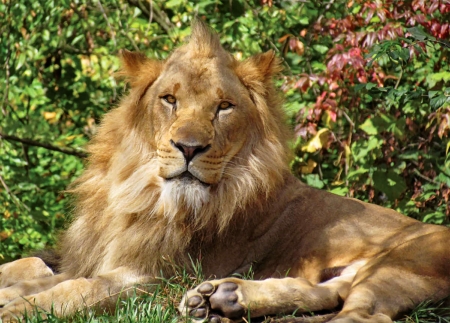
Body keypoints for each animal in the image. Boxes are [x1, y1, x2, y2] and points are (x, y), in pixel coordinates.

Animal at [0, 21, 450, 322]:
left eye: (224, 107)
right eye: (169, 100)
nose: (189, 147)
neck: (139, 190)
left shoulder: (153, 278)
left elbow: (77, 289)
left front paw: (16, 307)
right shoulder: (81, 257)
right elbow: (31, 265)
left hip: (398, 264)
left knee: (360, 314)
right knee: (327, 293)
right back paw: (223, 299)